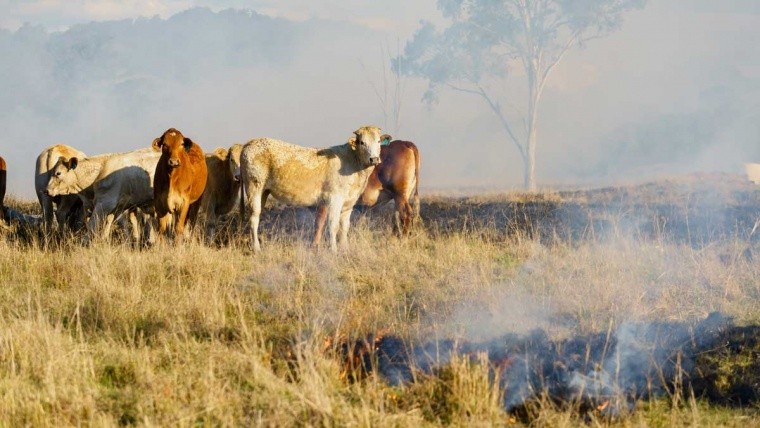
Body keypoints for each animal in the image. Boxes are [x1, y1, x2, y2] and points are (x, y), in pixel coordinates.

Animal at [240, 124, 388, 251]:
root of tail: (250, 143)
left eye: (378, 141)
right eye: (362, 142)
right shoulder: (335, 199)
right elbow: (333, 226)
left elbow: (344, 227)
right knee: (254, 218)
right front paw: (333, 250)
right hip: (253, 187)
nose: (374, 159)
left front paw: (344, 249)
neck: (353, 162)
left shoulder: (349, 202)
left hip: (264, 191)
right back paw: (256, 248)